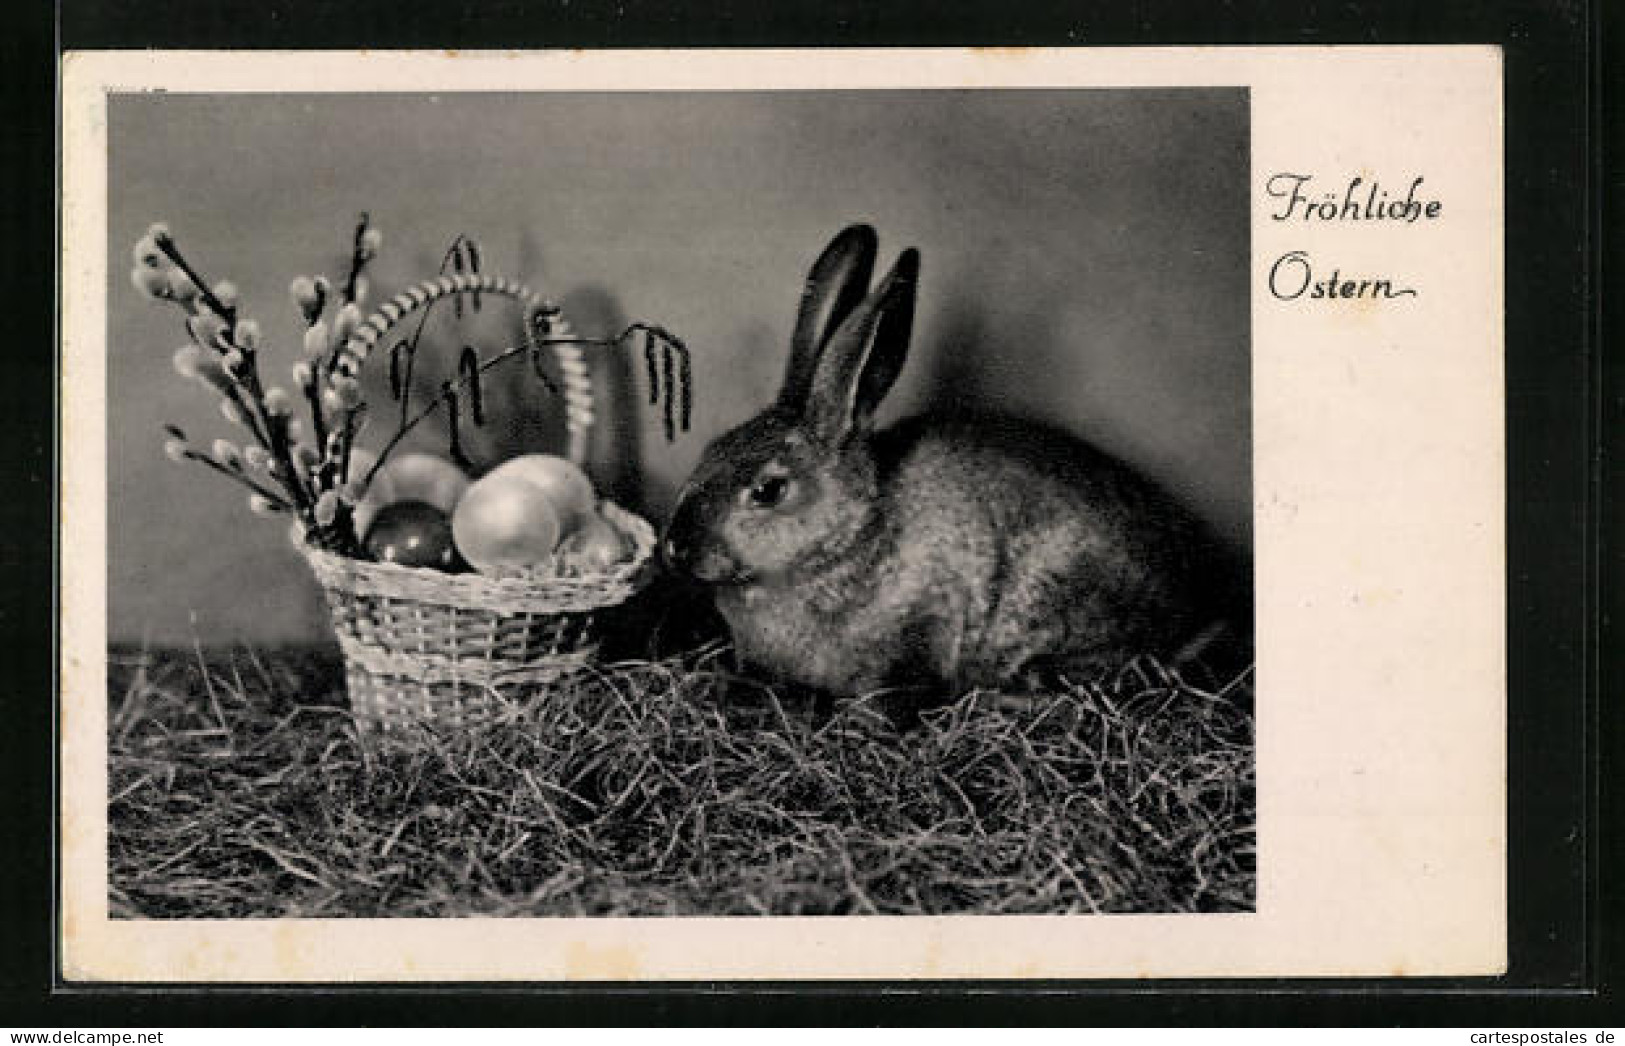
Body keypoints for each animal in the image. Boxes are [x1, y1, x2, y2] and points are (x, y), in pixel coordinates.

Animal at [659, 224, 1241, 698]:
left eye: (768, 490)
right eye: (709, 451)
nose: (675, 547)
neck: (851, 540)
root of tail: (1205, 606)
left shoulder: (925, 625)